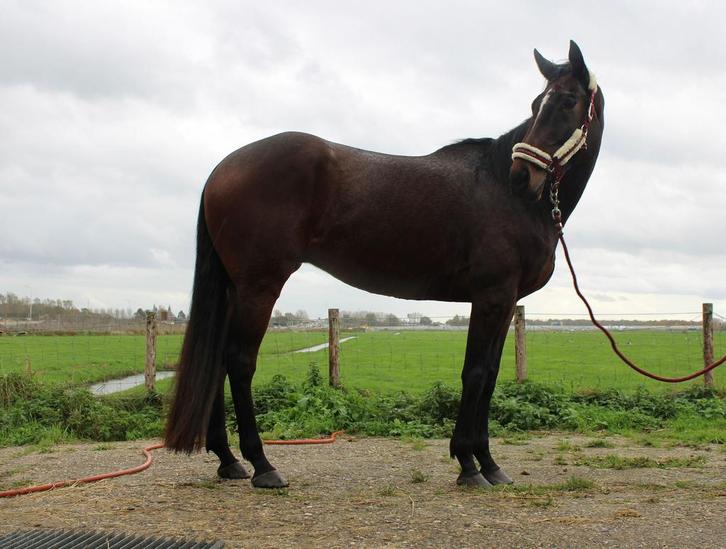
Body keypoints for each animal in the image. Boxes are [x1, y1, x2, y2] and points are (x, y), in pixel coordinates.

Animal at [165, 40, 604, 488]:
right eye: (538, 104)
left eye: (568, 101)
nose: (522, 176)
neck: (506, 193)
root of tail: (222, 169)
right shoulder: (492, 297)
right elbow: (476, 373)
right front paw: (469, 462)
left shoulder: (505, 301)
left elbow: (492, 374)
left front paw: (489, 463)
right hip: (259, 286)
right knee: (238, 362)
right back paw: (262, 465)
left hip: (235, 288)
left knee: (217, 361)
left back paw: (227, 459)